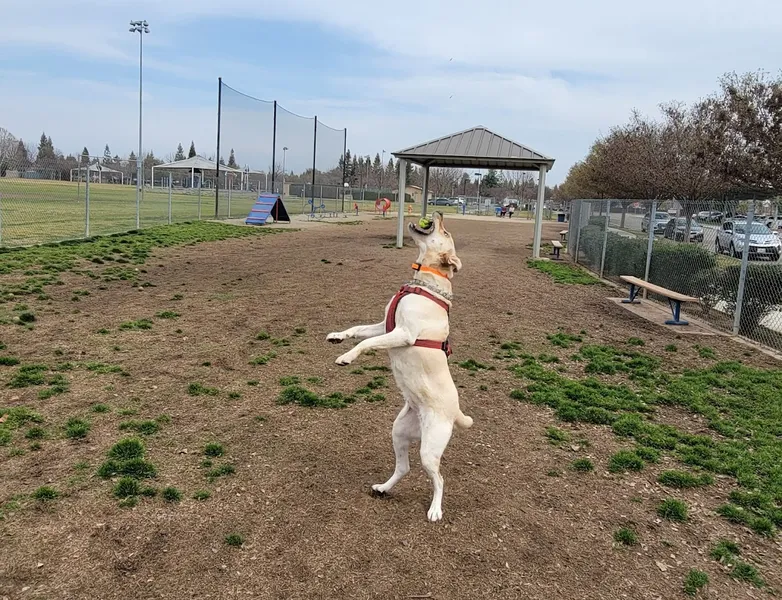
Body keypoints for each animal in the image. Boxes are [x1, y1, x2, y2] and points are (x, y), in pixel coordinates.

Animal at [328, 213, 474, 524]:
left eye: (445, 232)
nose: (438, 214)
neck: (425, 282)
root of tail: (455, 412)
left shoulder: (403, 333)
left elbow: (367, 342)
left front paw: (347, 357)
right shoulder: (386, 326)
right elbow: (358, 329)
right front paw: (337, 337)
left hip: (430, 448)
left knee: (439, 479)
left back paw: (435, 510)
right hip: (399, 432)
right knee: (404, 468)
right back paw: (383, 488)